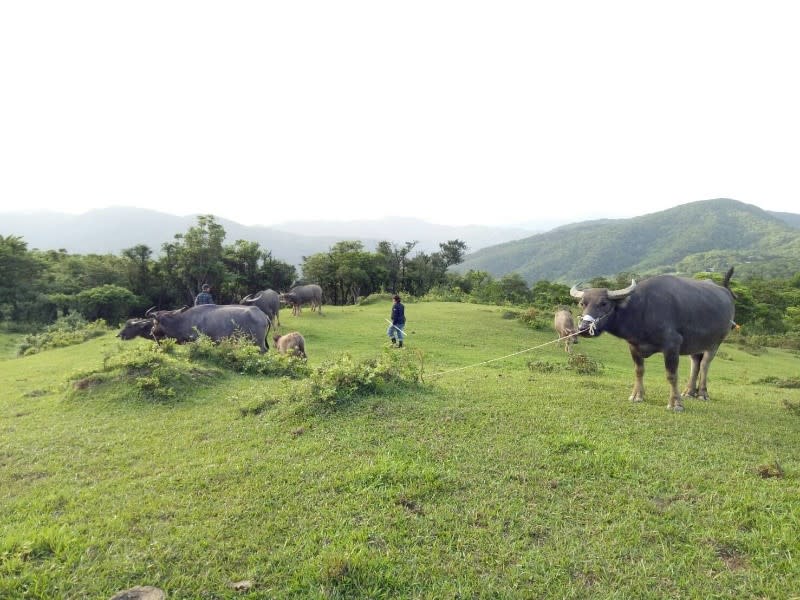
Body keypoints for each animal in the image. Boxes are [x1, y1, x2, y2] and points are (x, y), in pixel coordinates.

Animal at [568, 268, 736, 412]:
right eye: (582, 303)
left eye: (604, 303)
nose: (584, 327)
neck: (642, 309)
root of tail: (726, 293)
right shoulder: (633, 346)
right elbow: (639, 370)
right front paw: (637, 395)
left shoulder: (672, 346)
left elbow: (671, 375)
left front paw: (675, 404)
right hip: (695, 344)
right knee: (695, 363)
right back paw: (689, 392)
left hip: (715, 343)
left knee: (705, 364)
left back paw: (702, 394)